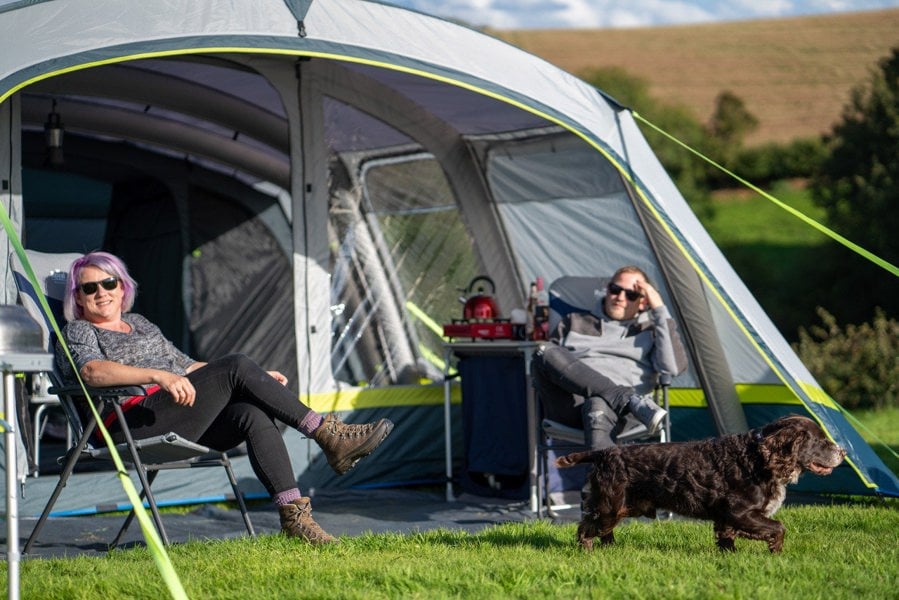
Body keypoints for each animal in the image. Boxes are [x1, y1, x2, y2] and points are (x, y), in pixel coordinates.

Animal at [560, 414, 848, 552]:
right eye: (820, 440)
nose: (844, 452)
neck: (757, 458)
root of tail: (604, 452)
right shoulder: (740, 512)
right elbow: (779, 527)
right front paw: (776, 551)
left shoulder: (729, 518)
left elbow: (727, 538)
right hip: (610, 505)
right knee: (585, 529)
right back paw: (589, 552)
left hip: (622, 506)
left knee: (602, 530)